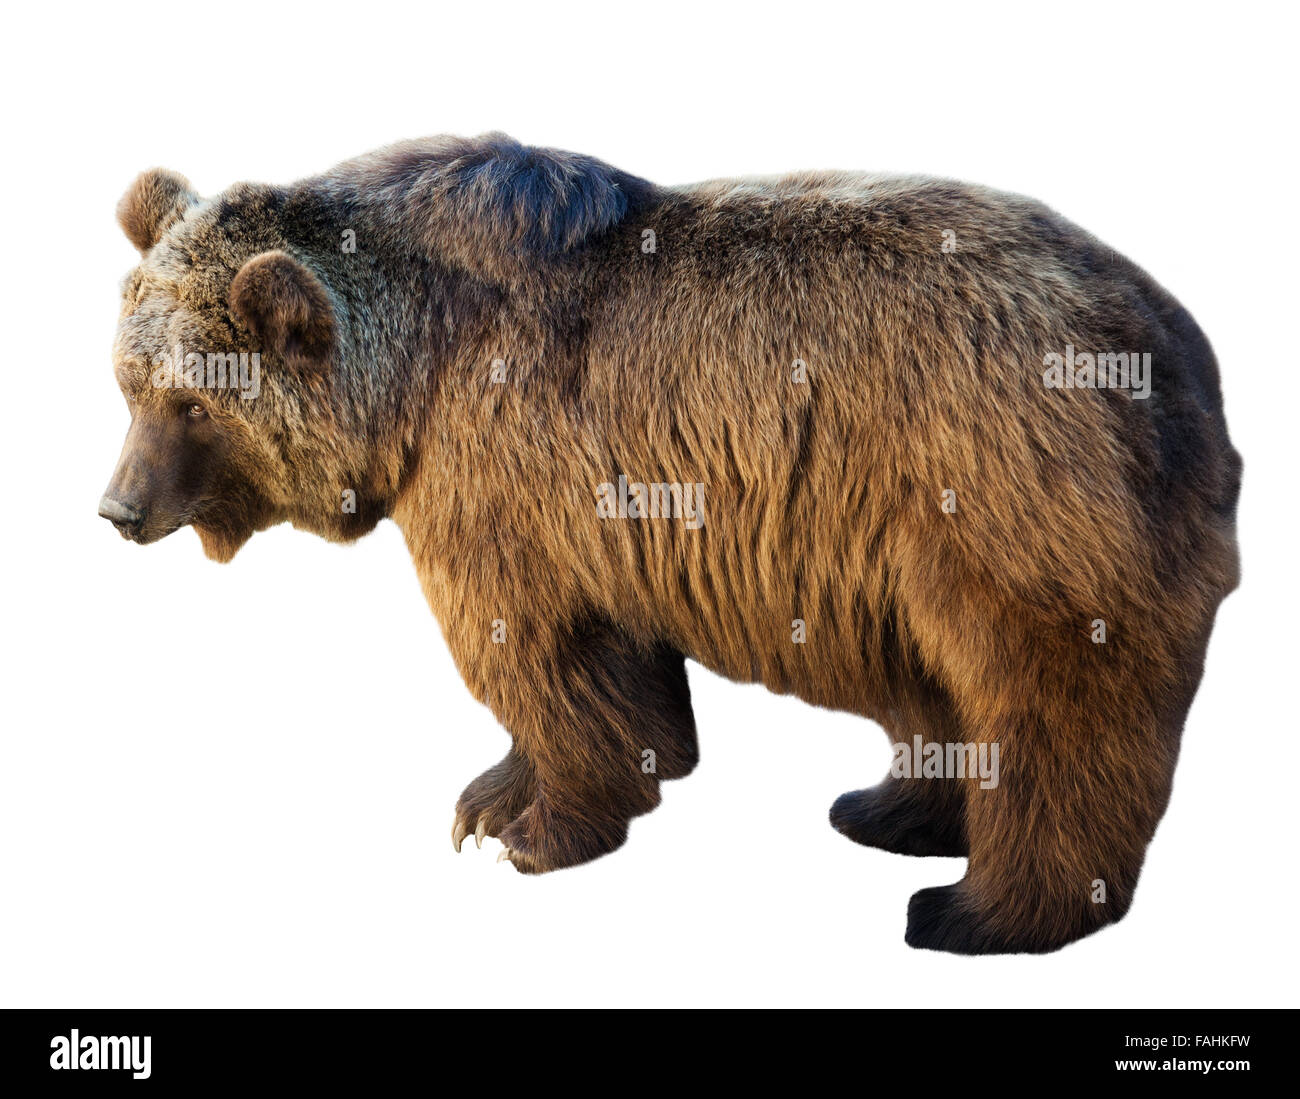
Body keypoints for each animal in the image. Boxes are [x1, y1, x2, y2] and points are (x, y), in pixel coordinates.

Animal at [100, 133, 1241, 954]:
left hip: (999, 488)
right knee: (940, 682)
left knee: (1046, 699)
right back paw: (891, 808)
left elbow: (535, 649)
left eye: (194, 403)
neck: (411, 365)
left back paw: (977, 911)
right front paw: (492, 799)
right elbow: (606, 668)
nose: (117, 508)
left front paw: (532, 831)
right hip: (903, 546)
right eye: (127, 381)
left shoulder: (501, 476)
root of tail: (1175, 340)